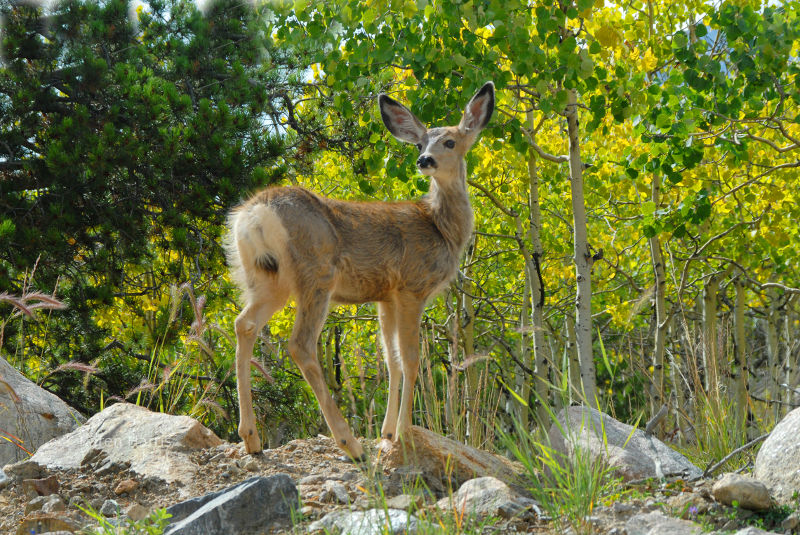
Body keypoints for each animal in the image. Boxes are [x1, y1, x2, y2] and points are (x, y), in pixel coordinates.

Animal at [225, 80, 496, 460]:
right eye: (420, 142)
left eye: (449, 141)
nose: (423, 160)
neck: (440, 227)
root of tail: (254, 213)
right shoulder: (412, 286)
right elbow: (411, 359)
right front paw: (404, 432)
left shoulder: (386, 296)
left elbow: (391, 360)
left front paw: (388, 431)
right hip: (316, 273)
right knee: (300, 344)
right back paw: (349, 443)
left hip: (265, 278)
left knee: (244, 324)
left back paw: (250, 437)